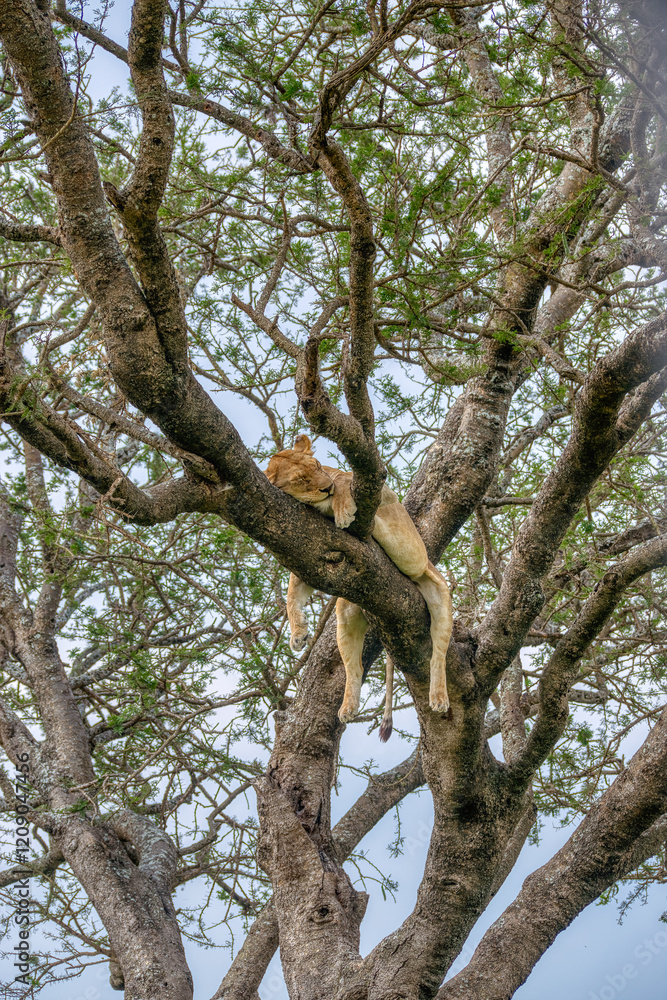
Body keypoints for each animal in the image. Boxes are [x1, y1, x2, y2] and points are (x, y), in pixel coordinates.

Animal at [265, 435, 453, 737]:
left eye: (317, 465)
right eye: (301, 479)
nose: (326, 487)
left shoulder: (384, 491)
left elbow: (345, 479)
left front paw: (343, 509)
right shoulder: (312, 548)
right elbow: (293, 593)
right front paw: (297, 633)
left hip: (435, 591)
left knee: (438, 652)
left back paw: (438, 698)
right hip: (347, 614)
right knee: (354, 667)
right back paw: (347, 708)